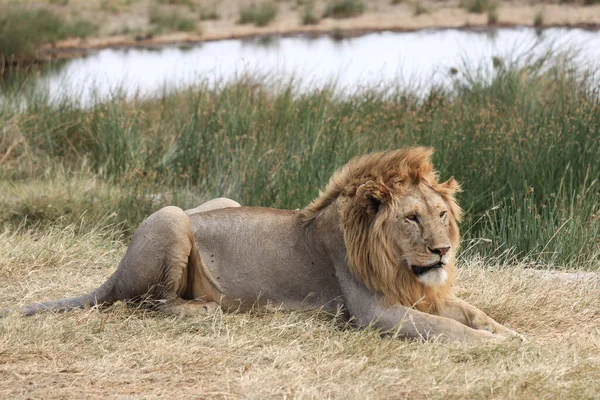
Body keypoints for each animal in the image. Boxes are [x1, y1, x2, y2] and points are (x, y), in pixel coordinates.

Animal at [3, 148, 520, 342]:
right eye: (411, 218)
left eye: (440, 215)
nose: (442, 251)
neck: (398, 266)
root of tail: (114, 272)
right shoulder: (377, 313)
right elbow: (449, 330)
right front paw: (493, 347)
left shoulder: (421, 293)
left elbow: (471, 313)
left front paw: (510, 334)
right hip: (170, 218)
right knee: (150, 303)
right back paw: (209, 309)